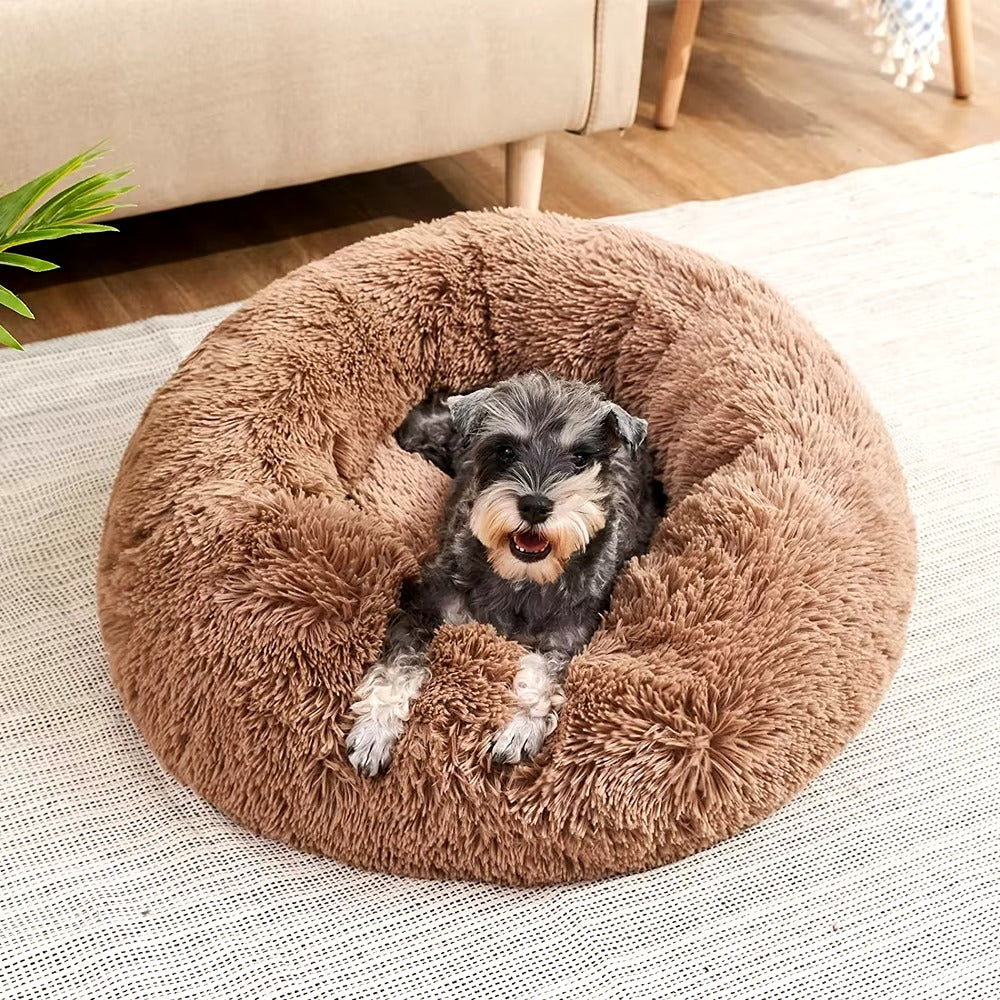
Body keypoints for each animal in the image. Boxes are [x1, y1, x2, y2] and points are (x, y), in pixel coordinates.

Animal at [346, 372, 664, 776]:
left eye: (580, 458)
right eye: (506, 452)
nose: (535, 505)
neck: (522, 579)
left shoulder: (570, 633)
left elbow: (545, 673)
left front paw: (520, 728)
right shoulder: (424, 603)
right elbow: (398, 666)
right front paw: (374, 731)